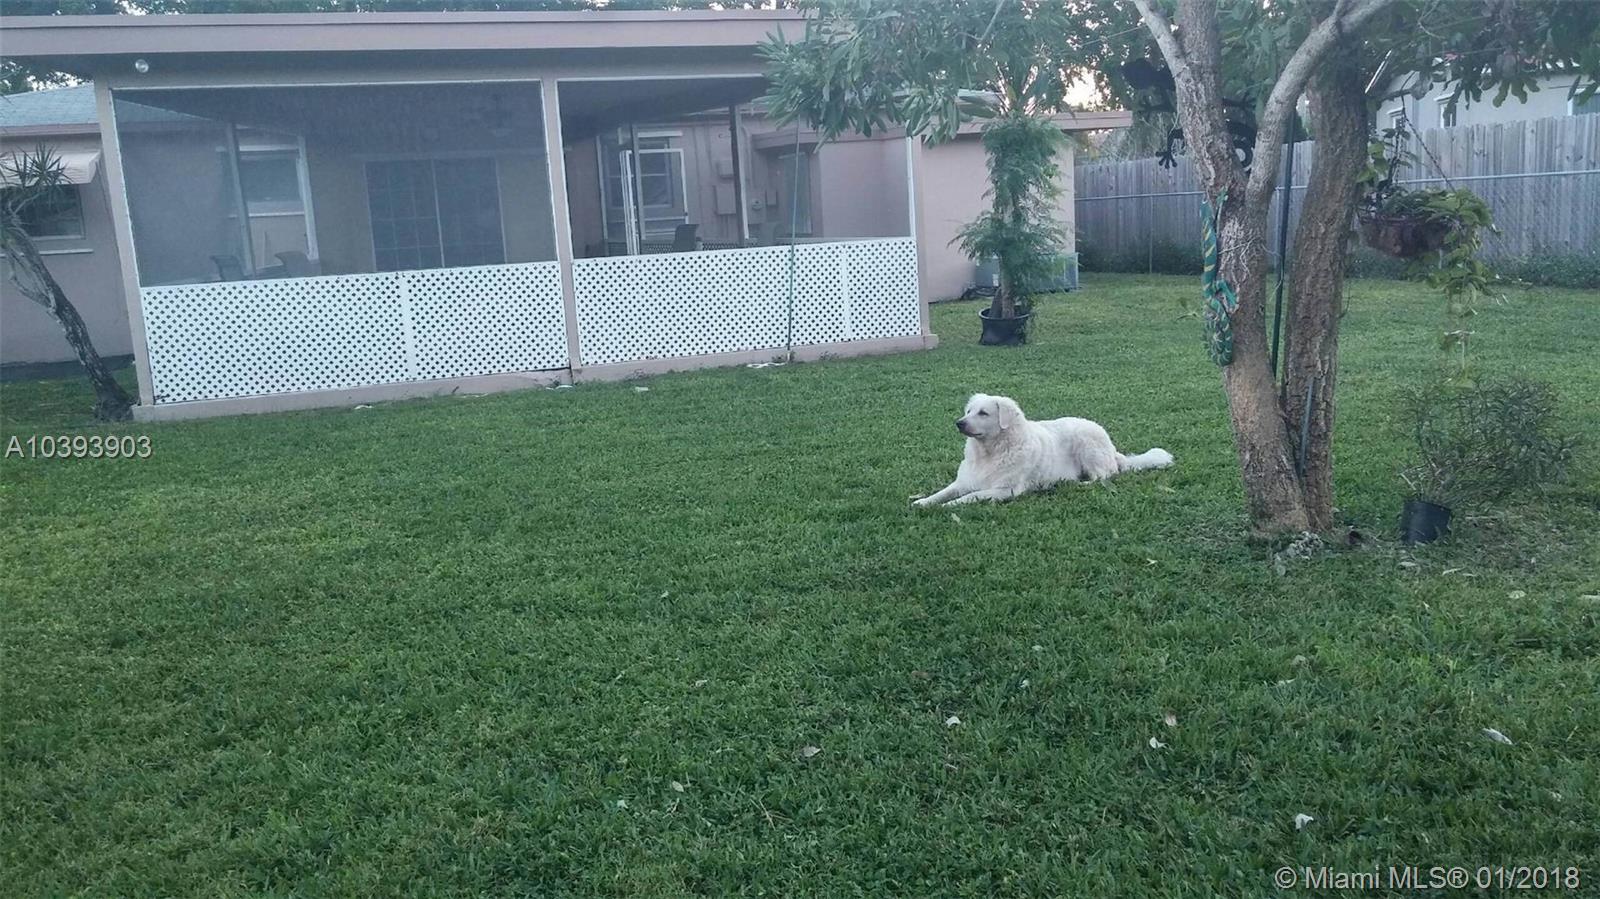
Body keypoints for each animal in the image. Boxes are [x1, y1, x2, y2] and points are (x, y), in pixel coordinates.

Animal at [911, 394, 1173, 507]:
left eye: (983, 413)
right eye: (968, 411)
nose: (959, 423)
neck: (989, 452)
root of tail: (1111, 446)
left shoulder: (1006, 490)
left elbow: (970, 496)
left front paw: (948, 507)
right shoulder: (963, 482)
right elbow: (942, 493)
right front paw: (923, 502)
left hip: (1086, 445)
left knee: (1103, 477)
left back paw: (1072, 484)